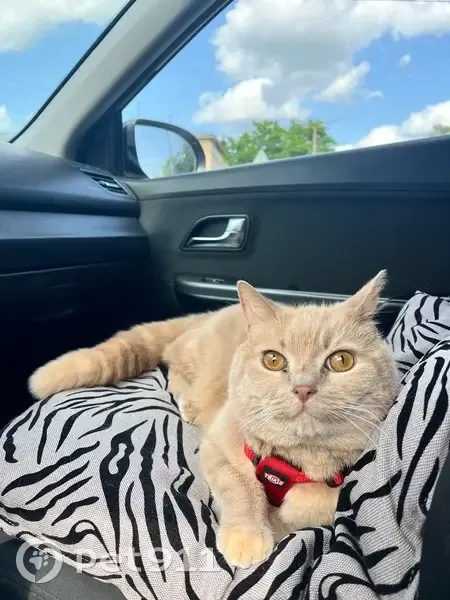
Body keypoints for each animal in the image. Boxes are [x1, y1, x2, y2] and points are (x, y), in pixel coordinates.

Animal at [29, 270, 398, 568]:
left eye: (341, 360)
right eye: (274, 360)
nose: (304, 388)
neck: (292, 460)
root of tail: (209, 314)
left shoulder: (335, 487)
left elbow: (310, 505)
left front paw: (279, 522)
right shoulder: (218, 446)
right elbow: (241, 489)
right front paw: (248, 536)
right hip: (193, 358)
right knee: (172, 364)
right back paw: (187, 401)